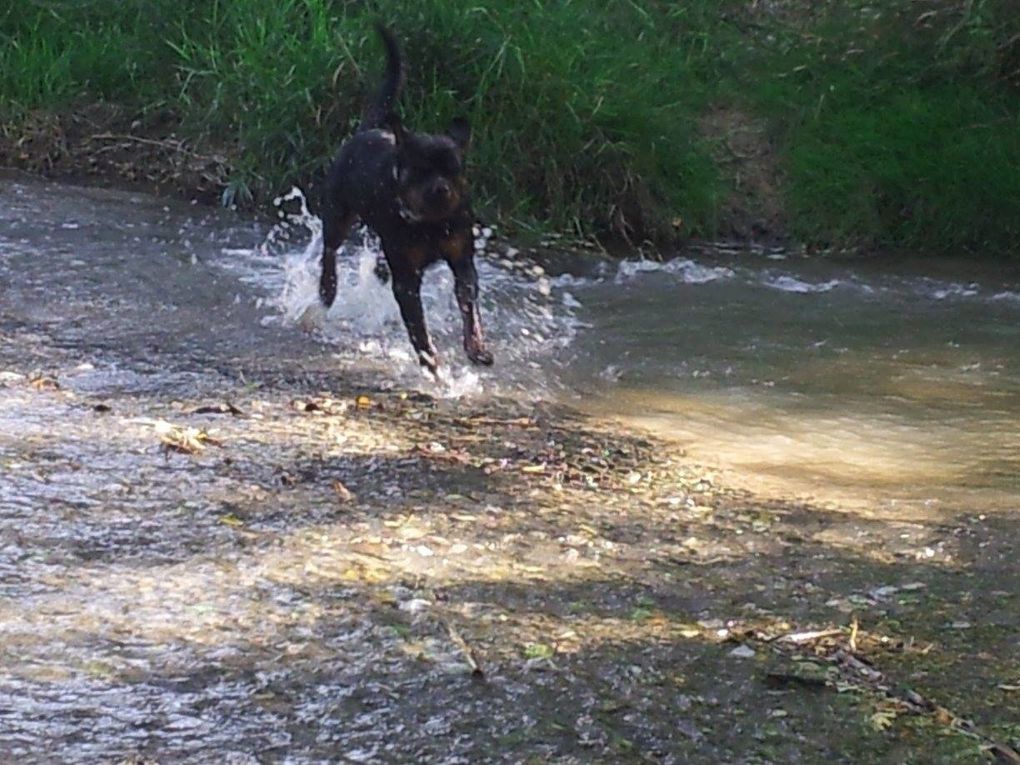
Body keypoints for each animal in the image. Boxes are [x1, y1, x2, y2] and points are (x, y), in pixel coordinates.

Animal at [318, 27, 493, 377]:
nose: (440, 189)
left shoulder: (463, 262)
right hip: (338, 213)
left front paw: (476, 347)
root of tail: (369, 130)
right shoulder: (407, 280)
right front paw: (431, 362)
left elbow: (469, 306)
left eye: (453, 170)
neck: (432, 224)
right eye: (420, 169)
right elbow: (418, 326)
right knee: (329, 249)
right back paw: (326, 289)